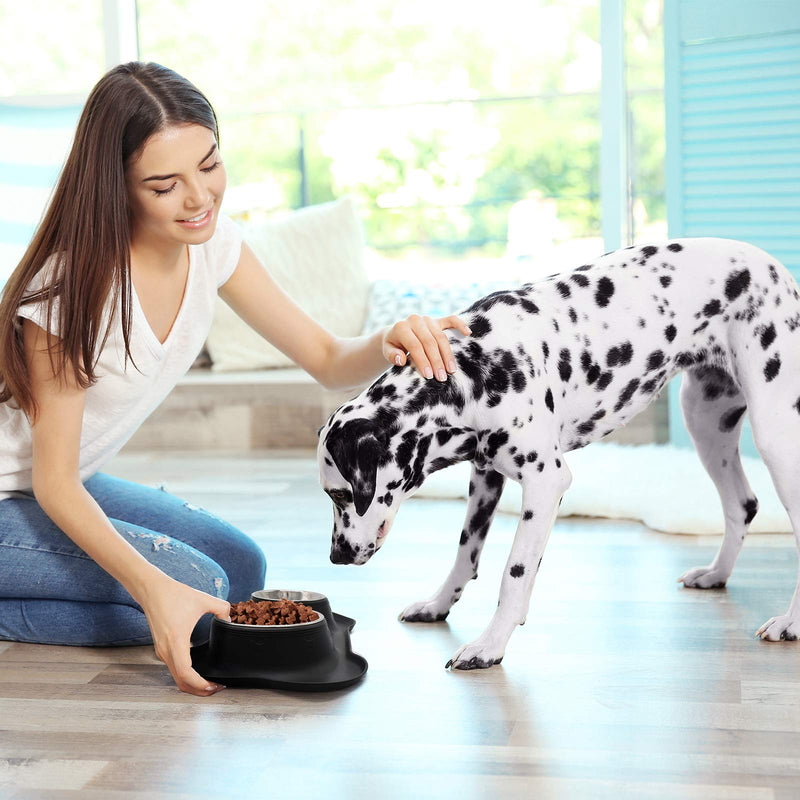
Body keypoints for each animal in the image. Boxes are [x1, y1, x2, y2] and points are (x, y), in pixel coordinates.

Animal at [316, 238, 800, 668]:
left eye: (339, 495)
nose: (336, 556)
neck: (473, 371)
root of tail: (776, 268)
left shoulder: (545, 483)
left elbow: (513, 574)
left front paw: (490, 644)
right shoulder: (485, 476)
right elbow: (465, 554)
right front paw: (438, 604)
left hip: (775, 437)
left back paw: (790, 622)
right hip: (706, 423)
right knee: (742, 504)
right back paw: (716, 574)